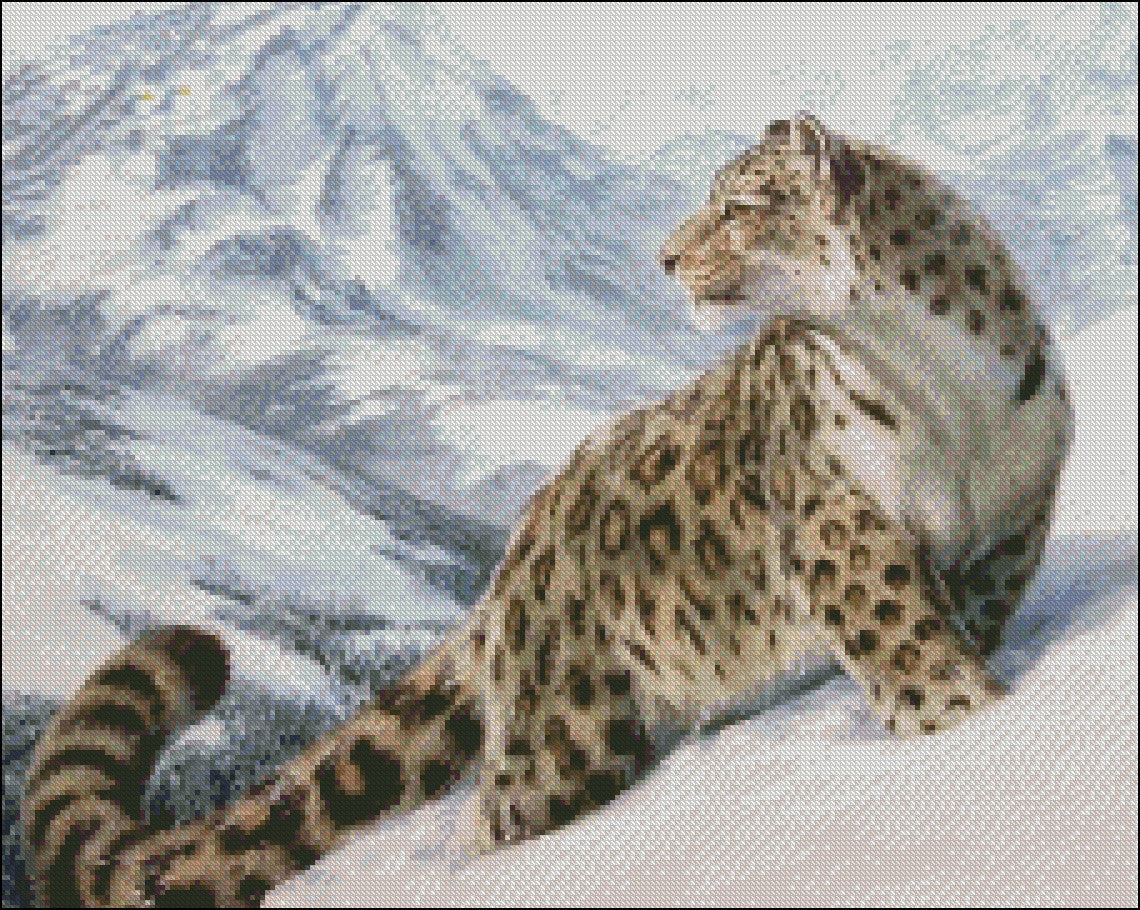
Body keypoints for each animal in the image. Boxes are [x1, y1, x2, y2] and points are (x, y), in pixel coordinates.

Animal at [21, 114, 1073, 907]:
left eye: (739, 205)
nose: (665, 258)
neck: (937, 387)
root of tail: (514, 560)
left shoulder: (1013, 518)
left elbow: (962, 618)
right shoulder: (843, 527)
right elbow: (907, 643)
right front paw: (966, 721)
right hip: (567, 738)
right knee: (493, 821)